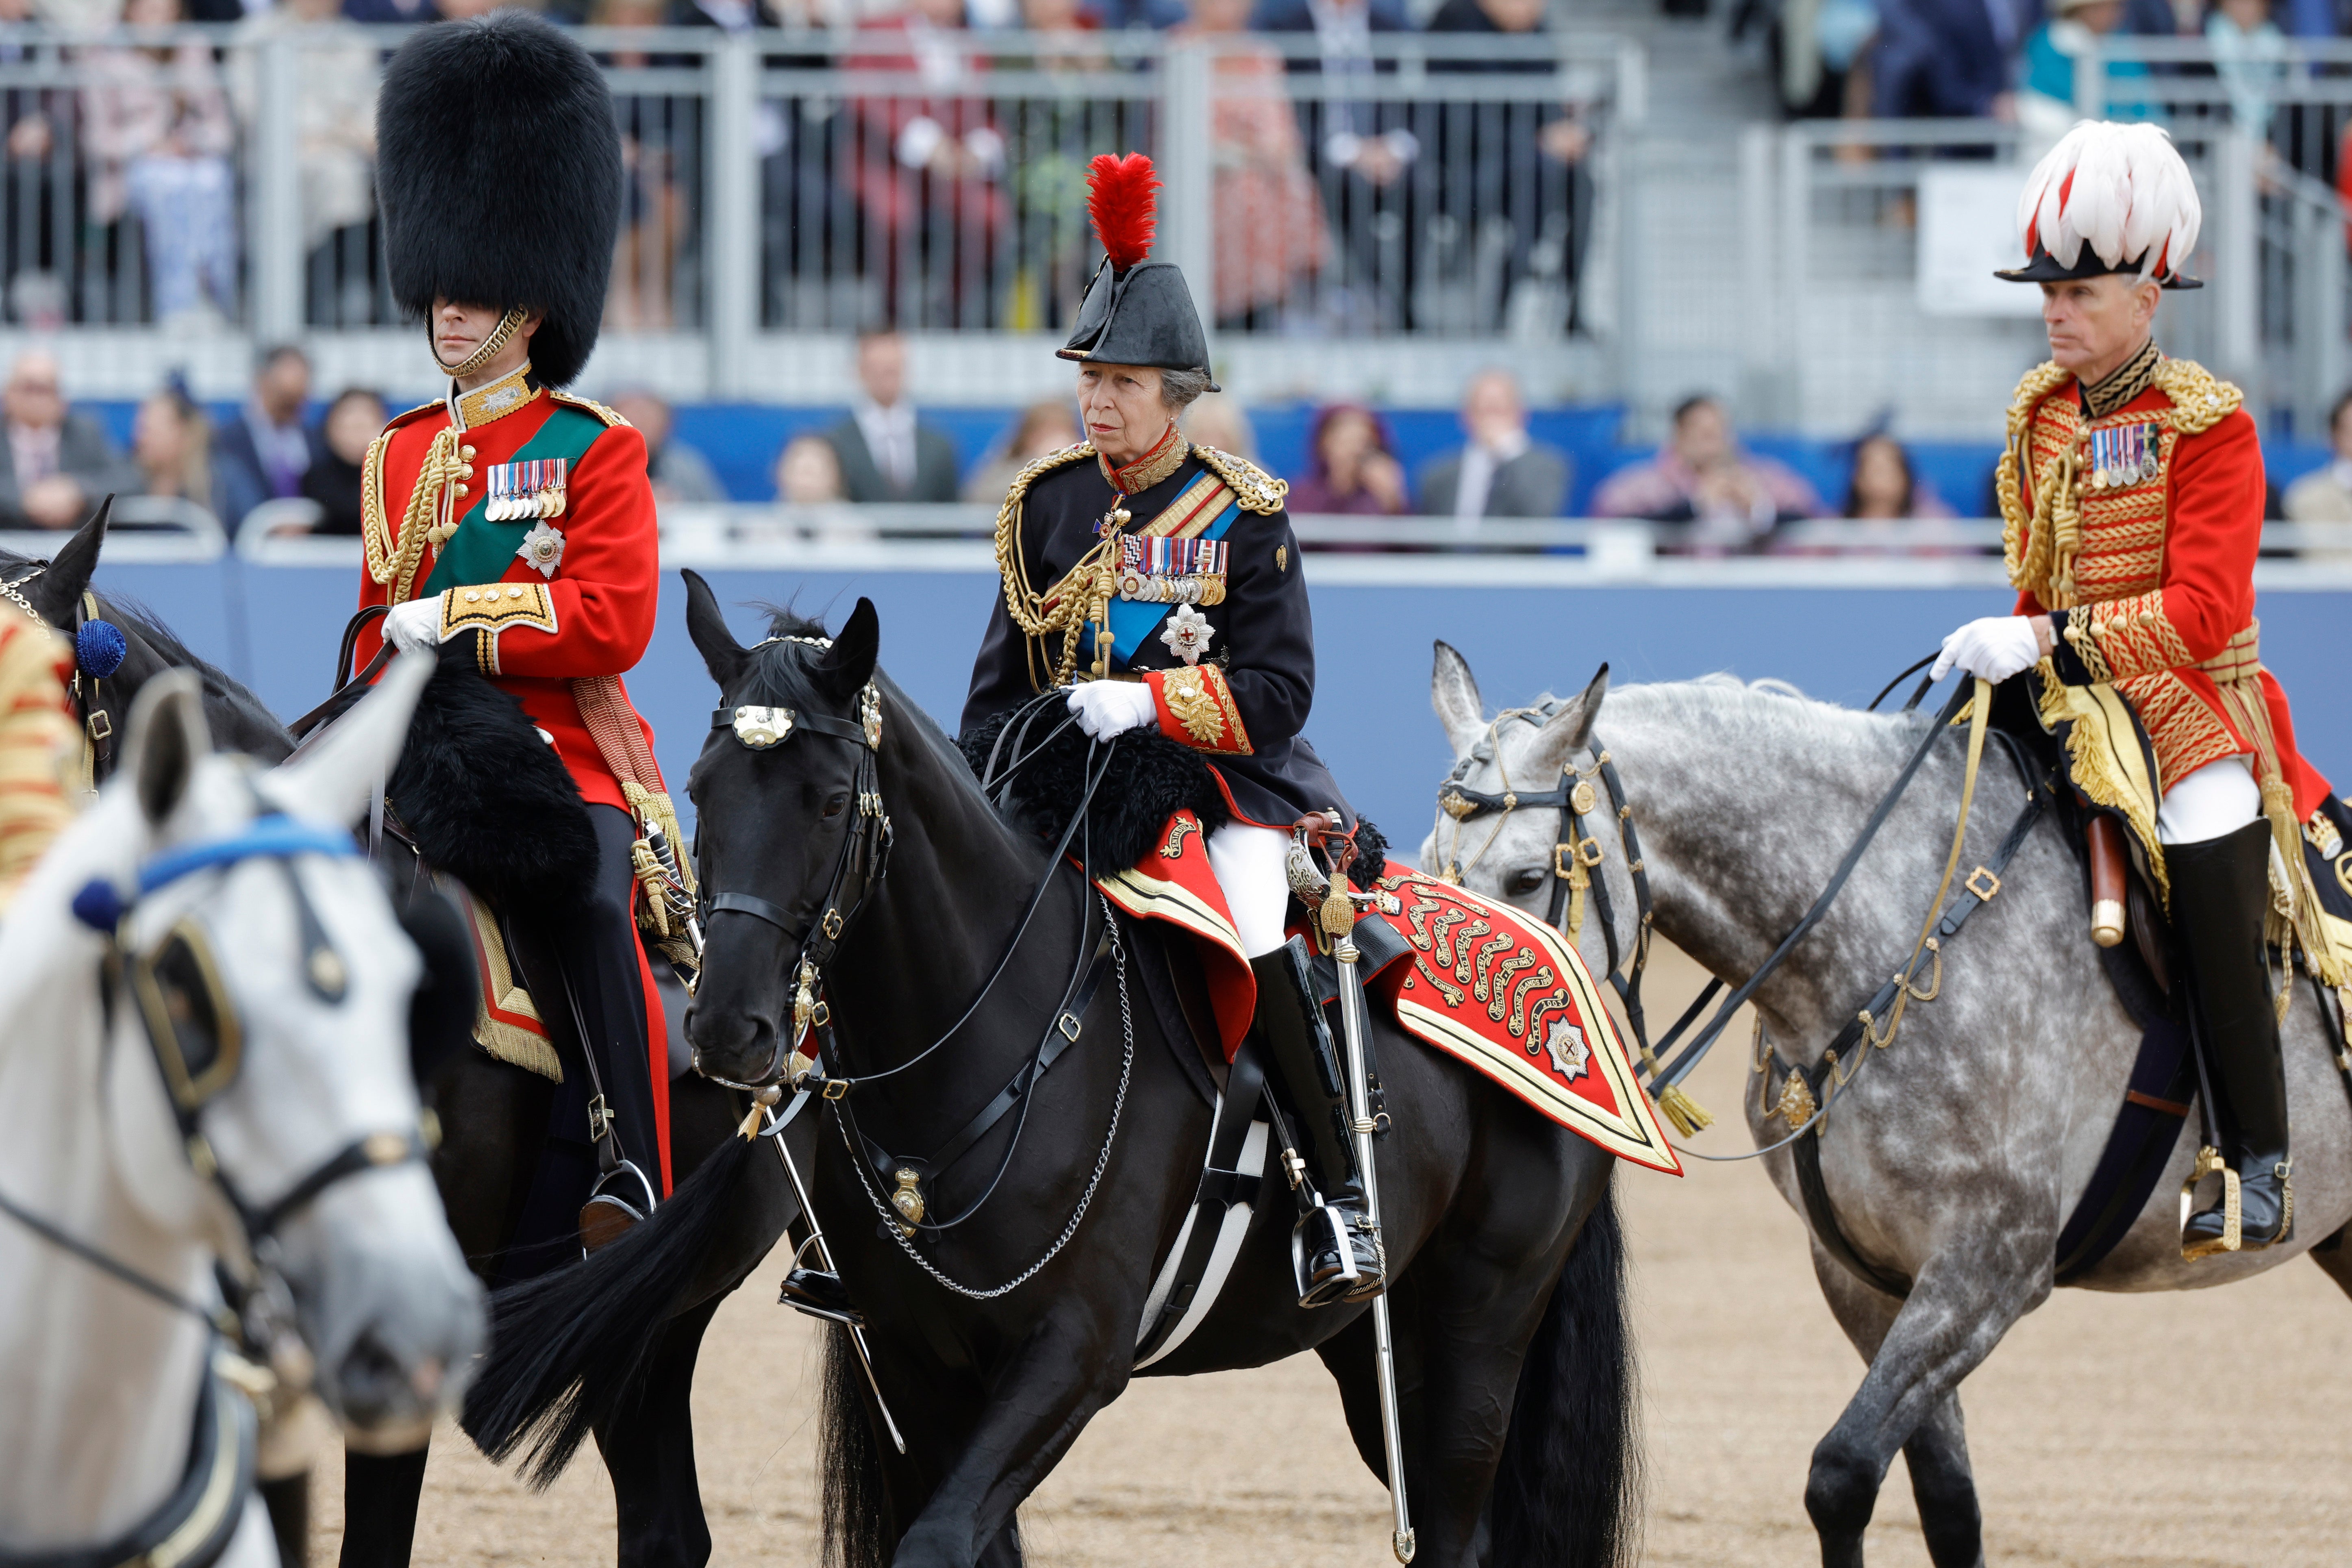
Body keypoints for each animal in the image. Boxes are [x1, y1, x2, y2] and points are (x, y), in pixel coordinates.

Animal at [482, 583, 1637, 1568]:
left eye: (827, 799)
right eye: (698, 787)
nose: (726, 1027)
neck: (987, 1047)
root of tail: (1559, 960)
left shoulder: (1075, 1353)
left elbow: (938, 1543)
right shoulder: (919, 1361)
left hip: (1481, 1321)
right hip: (1370, 1346)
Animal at [1411, 649, 2352, 1568]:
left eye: (1527, 876)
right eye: (1425, 869)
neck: (1893, 938)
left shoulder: (1990, 1268)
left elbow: (1842, 1472)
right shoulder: (1866, 1275)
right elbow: (1946, 1502)